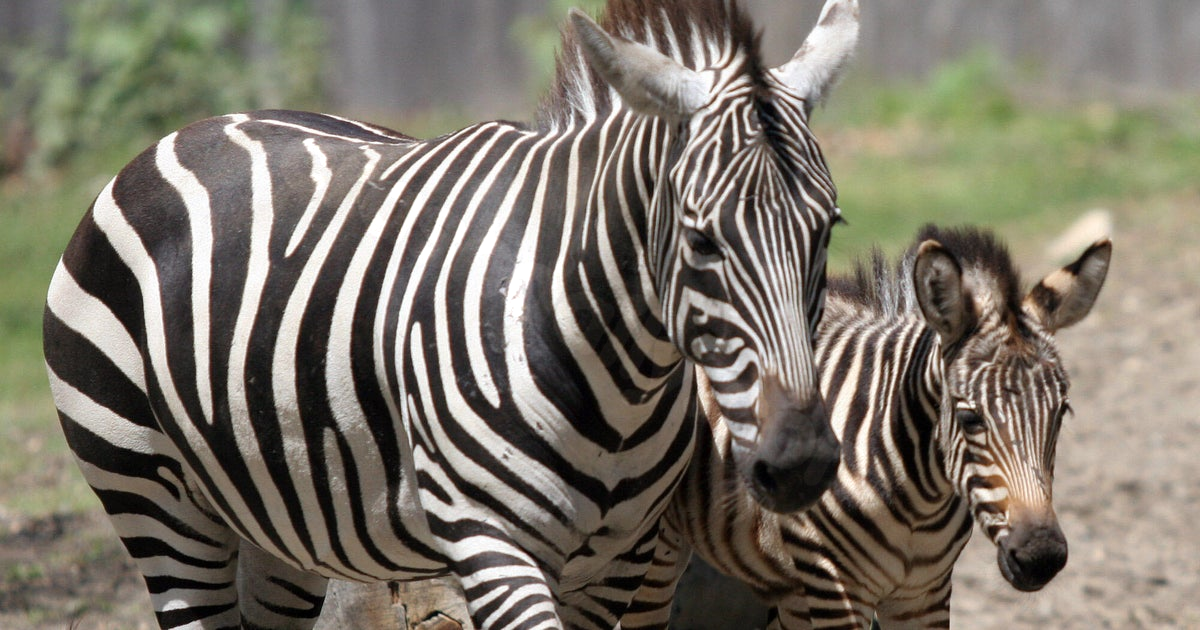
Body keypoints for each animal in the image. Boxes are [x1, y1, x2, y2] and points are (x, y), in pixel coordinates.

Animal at [42, 1, 860, 628]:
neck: (618, 372)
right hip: (151, 497)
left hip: (275, 522)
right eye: (700, 239)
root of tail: (185, 131)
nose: (800, 463)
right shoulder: (491, 542)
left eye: (828, 228)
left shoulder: (619, 560)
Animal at [622, 225, 1112, 629]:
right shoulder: (834, 587)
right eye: (970, 418)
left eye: (1062, 412)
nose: (1040, 558)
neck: (919, 501)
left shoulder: (924, 594)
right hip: (655, 548)